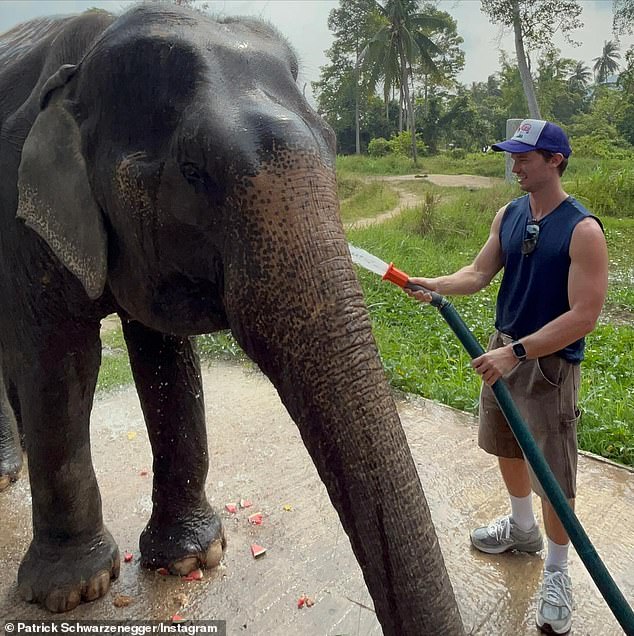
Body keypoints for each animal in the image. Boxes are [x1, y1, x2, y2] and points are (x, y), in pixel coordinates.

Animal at [0, 3, 464, 632]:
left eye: (333, 146)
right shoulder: (19, 210)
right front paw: (73, 593)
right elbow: (59, 359)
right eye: (195, 171)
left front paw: (191, 558)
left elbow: (166, 361)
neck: (87, 56)